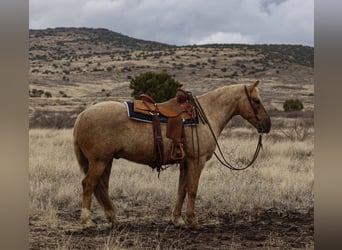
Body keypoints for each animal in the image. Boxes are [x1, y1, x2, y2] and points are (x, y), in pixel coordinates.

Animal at [73, 81, 272, 229]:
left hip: (107, 161)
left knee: (101, 187)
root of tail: (82, 114)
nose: (267, 125)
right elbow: (192, 190)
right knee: (88, 184)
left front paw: (177, 219)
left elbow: (181, 190)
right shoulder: (197, 161)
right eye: (256, 100)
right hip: (99, 161)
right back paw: (87, 220)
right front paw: (192, 220)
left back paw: (113, 218)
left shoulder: (185, 162)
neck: (207, 115)